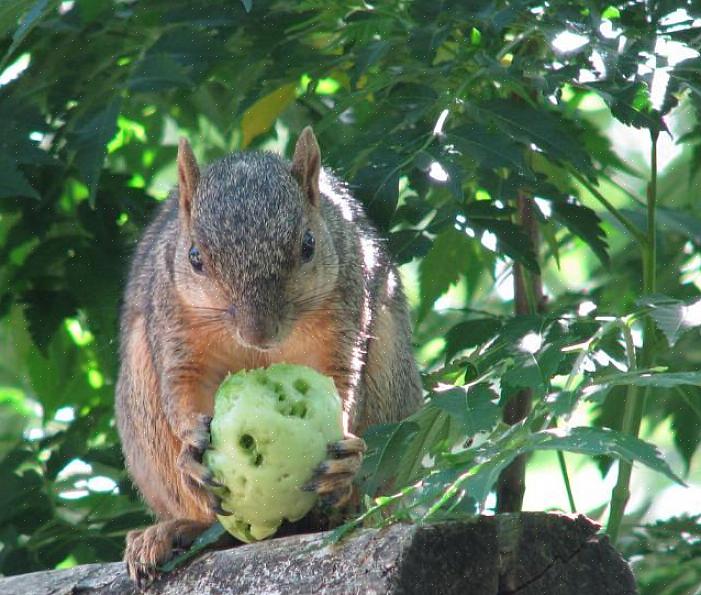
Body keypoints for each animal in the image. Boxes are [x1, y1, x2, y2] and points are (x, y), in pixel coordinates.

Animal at [115, 127, 422, 588]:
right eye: (194, 258)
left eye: (308, 246)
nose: (259, 333)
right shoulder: (173, 324)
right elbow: (183, 386)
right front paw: (191, 452)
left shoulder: (345, 309)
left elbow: (341, 380)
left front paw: (344, 459)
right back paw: (170, 532)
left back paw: (346, 503)